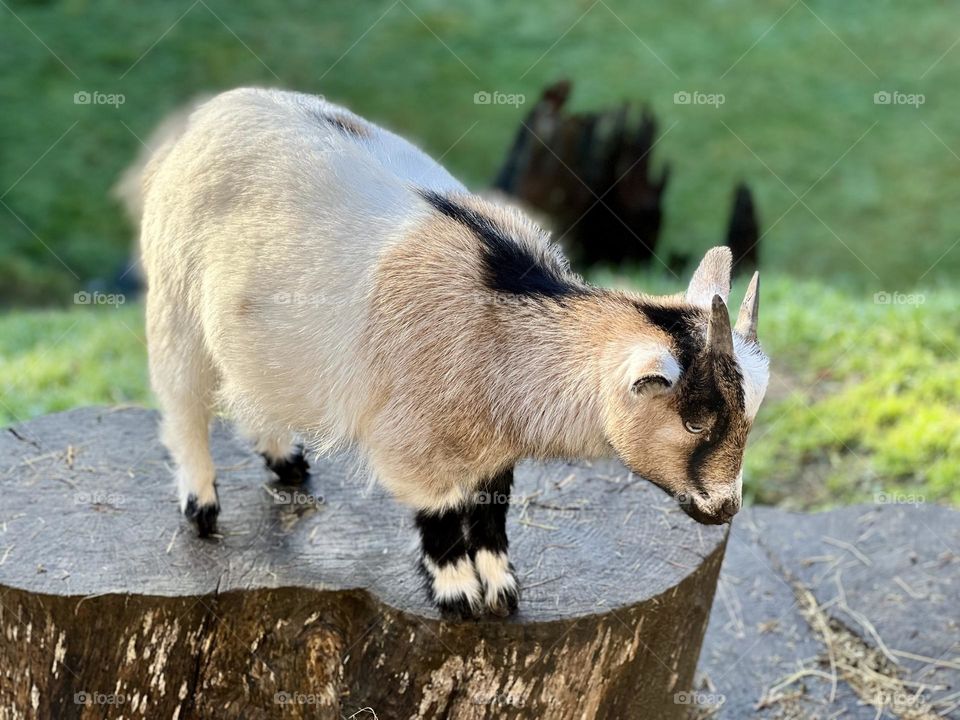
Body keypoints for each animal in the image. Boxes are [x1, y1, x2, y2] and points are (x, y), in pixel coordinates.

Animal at [139, 88, 769, 618]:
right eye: (694, 421)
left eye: (750, 414)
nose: (725, 508)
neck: (503, 319)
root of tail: (215, 110)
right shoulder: (409, 438)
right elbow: (440, 510)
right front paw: (459, 593)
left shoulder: (493, 442)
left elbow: (491, 506)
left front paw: (501, 585)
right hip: (172, 296)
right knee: (182, 398)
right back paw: (201, 504)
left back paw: (285, 460)